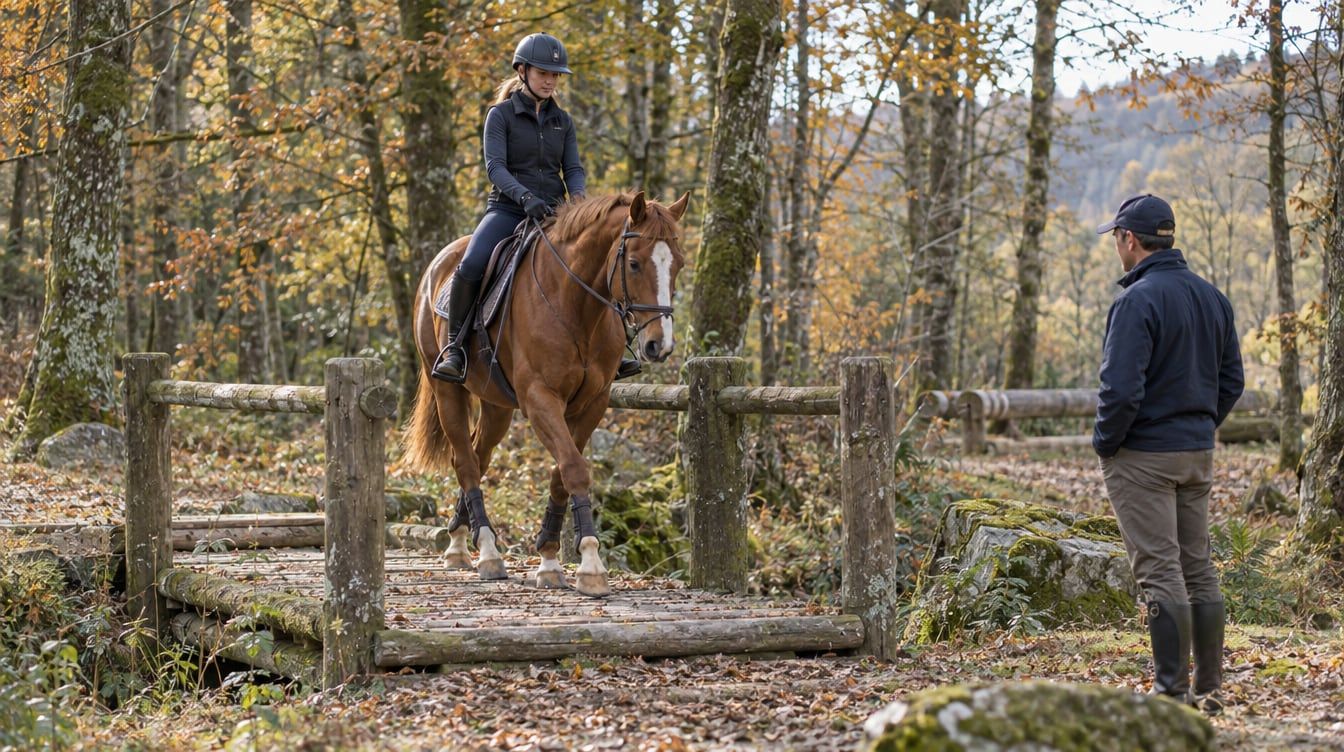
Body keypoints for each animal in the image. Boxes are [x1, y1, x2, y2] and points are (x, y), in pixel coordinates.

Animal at [403, 190, 690, 597]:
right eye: (633, 264)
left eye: (677, 264)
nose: (659, 346)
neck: (575, 305)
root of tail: (438, 265)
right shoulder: (540, 398)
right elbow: (574, 468)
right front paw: (590, 564)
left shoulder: (591, 403)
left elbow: (561, 473)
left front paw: (551, 559)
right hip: (447, 390)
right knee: (465, 461)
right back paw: (487, 551)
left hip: (495, 405)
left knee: (478, 455)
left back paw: (460, 539)